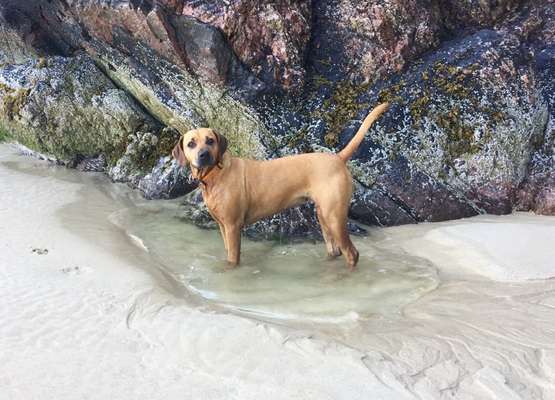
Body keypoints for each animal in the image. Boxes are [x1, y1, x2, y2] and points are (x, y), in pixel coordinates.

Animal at [174, 102, 390, 268]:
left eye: (210, 140)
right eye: (191, 144)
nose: (204, 155)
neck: (215, 175)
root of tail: (338, 157)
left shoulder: (233, 226)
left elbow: (233, 259)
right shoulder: (222, 226)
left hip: (335, 217)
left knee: (352, 253)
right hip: (324, 217)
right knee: (335, 250)